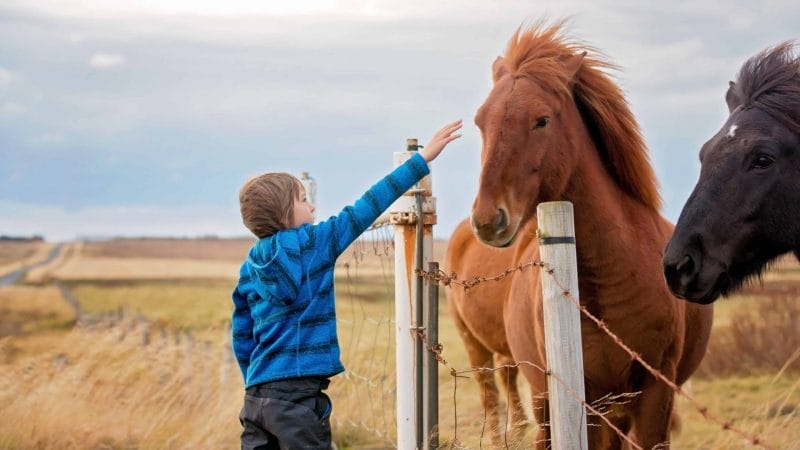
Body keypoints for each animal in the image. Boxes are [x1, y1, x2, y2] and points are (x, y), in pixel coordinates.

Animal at [446, 24, 716, 450]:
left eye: (542, 120)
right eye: (480, 122)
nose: (489, 219)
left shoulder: (654, 393)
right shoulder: (569, 396)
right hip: (487, 354)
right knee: (493, 387)